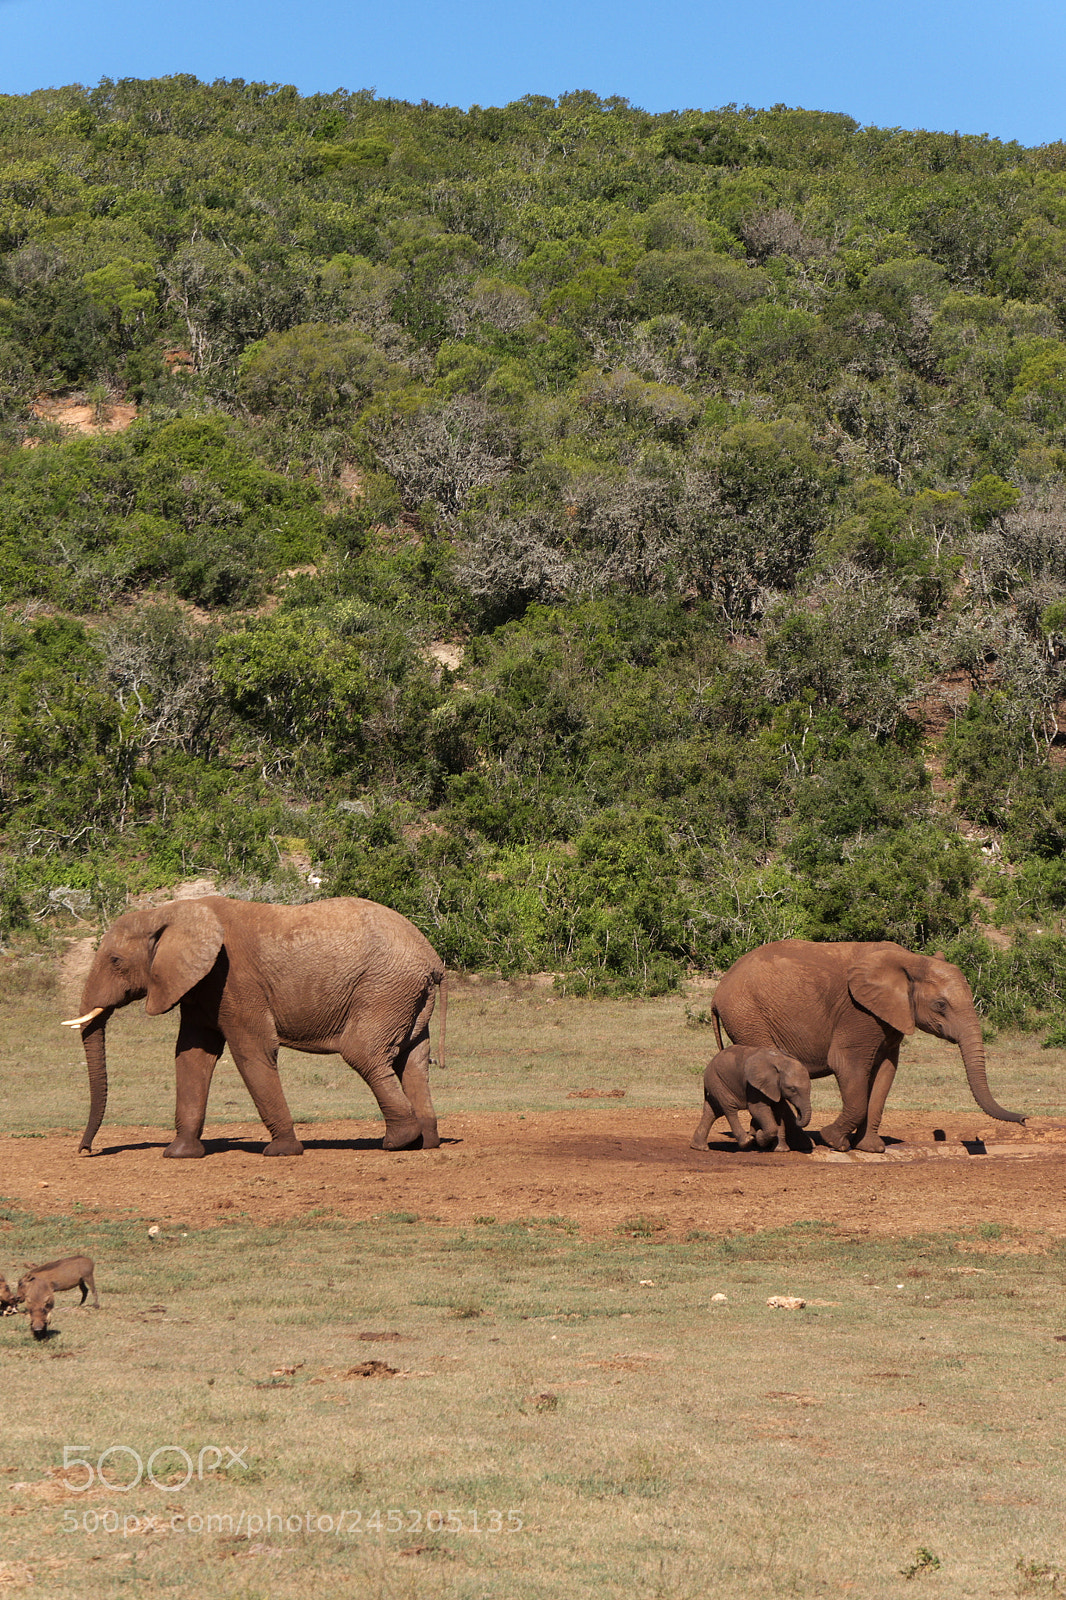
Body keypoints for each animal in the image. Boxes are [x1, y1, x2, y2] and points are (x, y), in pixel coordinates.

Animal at [61, 895, 447, 1158]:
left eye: (115, 961)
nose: (86, 1150)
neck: (172, 912)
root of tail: (433, 960)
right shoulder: (202, 986)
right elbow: (192, 1055)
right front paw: (179, 1154)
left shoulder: (233, 979)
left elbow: (252, 1051)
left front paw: (281, 1151)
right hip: (406, 996)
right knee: (412, 1060)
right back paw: (424, 1143)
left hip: (383, 988)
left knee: (364, 1053)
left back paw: (396, 1142)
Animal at [711, 939, 1025, 1153]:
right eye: (940, 1005)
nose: (1024, 1119)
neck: (910, 961)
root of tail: (718, 992)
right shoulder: (858, 1013)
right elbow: (848, 1066)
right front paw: (835, 1141)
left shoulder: (890, 1019)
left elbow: (885, 1073)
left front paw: (871, 1148)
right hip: (749, 1018)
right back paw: (798, 1143)